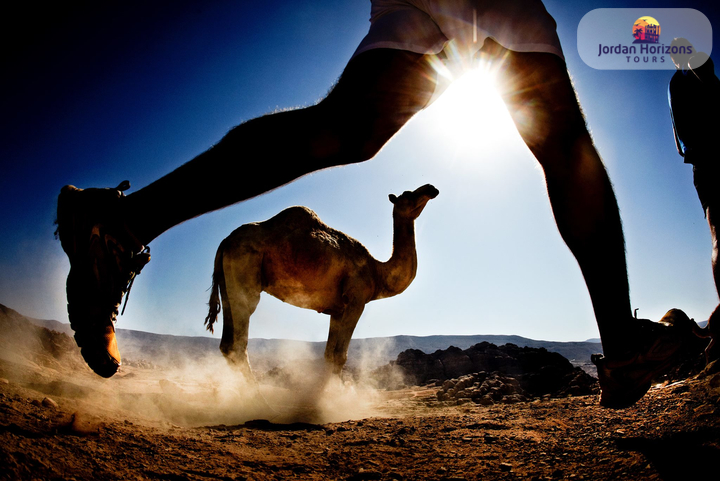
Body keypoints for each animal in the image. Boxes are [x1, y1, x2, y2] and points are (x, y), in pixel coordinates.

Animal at [202, 184, 438, 382]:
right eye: (407, 195)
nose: (430, 188)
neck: (377, 271)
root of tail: (225, 242)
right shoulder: (356, 300)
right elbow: (340, 355)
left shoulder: (337, 309)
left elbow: (329, 355)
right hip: (245, 271)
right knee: (239, 342)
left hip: (227, 284)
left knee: (227, 344)